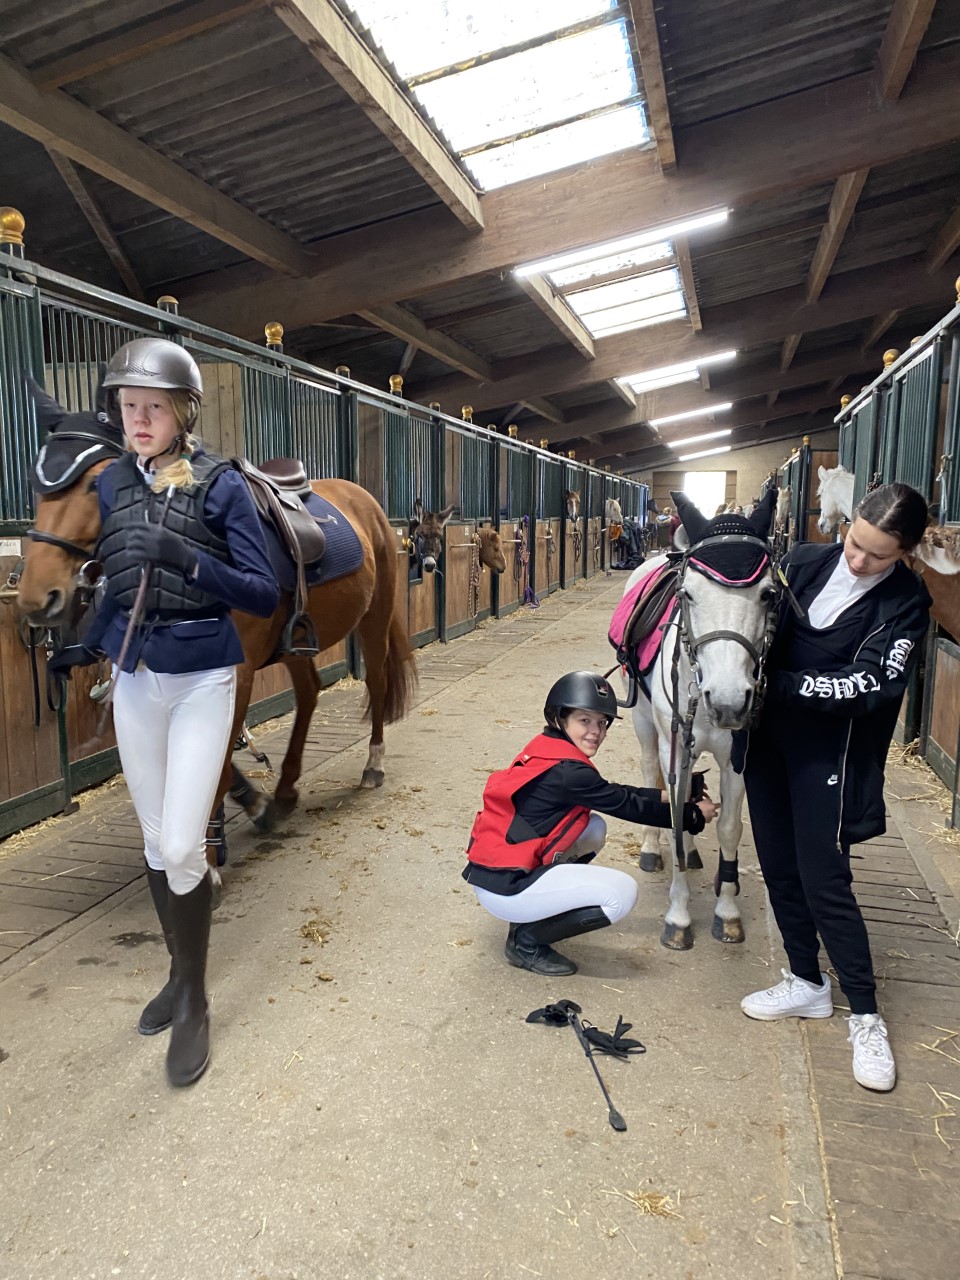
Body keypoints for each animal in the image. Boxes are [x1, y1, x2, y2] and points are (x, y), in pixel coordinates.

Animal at [16, 384, 417, 860]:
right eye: (36, 485)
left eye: (96, 482)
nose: (38, 596)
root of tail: (365, 502)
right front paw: (248, 810)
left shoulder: (235, 675)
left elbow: (218, 763)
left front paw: (210, 844)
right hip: (296, 639)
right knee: (308, 693)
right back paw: (284, 790)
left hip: (374, 618)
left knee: (376, 681)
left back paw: (372, 766)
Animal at [624, 488, 783, 952]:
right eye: (689, 594)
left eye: (768, 594)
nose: (727, 701)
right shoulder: (674, 745)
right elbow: (675, 816)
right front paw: (677, 919)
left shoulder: (738, 756)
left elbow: (730, 828)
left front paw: (727, 914)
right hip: (645, 724)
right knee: (650, 772)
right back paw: (652, 849)